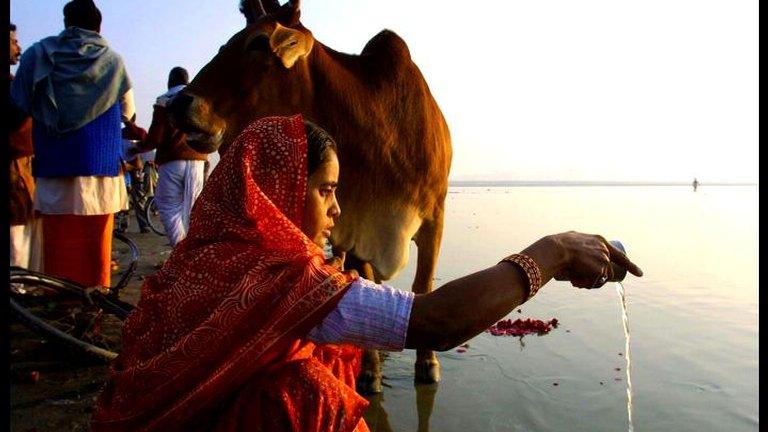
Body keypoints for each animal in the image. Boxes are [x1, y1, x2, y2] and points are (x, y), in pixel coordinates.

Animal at [168, 0, 450, 394]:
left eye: (258, 43)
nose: (180, 103)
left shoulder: (434, 216)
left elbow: (423, 286)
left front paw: (427, 363)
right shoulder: (353, 230)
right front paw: (369, 372)